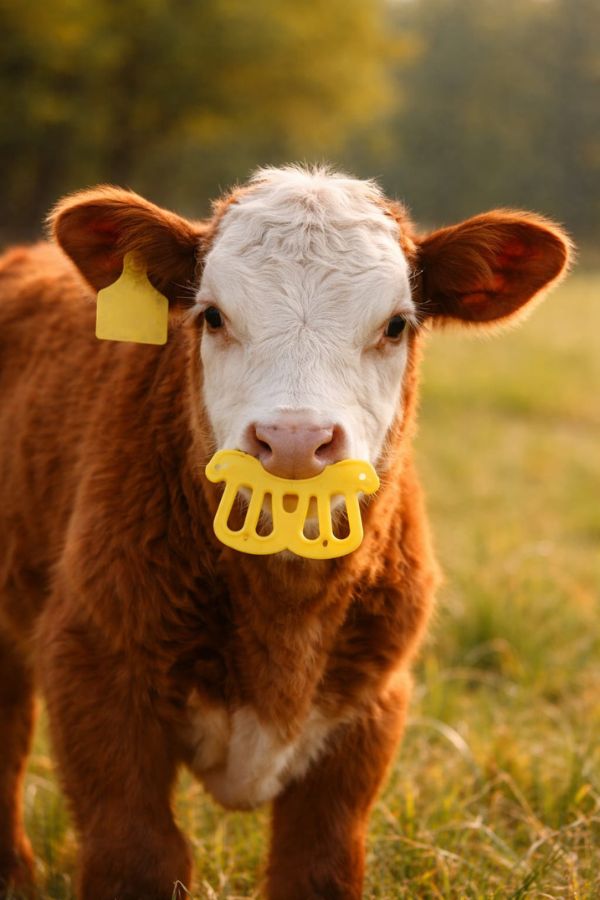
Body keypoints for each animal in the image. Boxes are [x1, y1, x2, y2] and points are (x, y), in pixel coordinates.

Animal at [0, 166, 571, 899]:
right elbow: (138, 856)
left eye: (396, 324)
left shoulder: (371, 705)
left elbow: (319, 865)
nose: (295, 440)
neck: (285, 622)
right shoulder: (94, 661)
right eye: (212, 316)